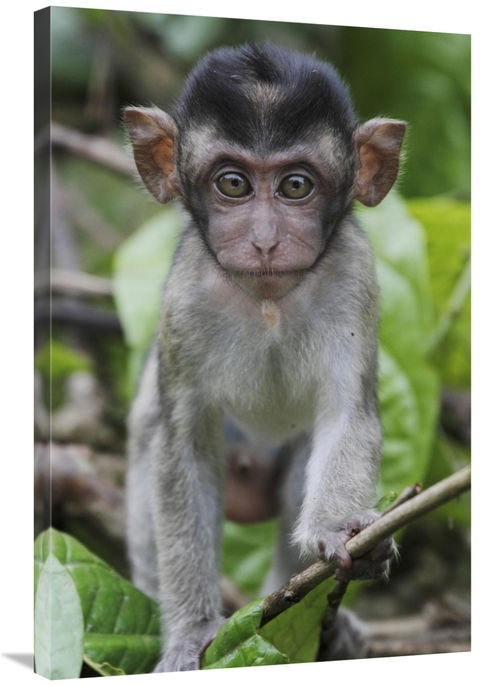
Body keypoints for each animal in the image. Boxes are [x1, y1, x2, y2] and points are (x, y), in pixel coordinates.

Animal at [124, 43, 406, 672]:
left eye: (296, 186)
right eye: (233, 183)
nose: (265, 240)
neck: (269, 302)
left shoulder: (353, 276)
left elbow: (347, 416)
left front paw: (340, 531)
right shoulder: (184, 296)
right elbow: (180, 445)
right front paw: (189, 633)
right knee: (152, 440)